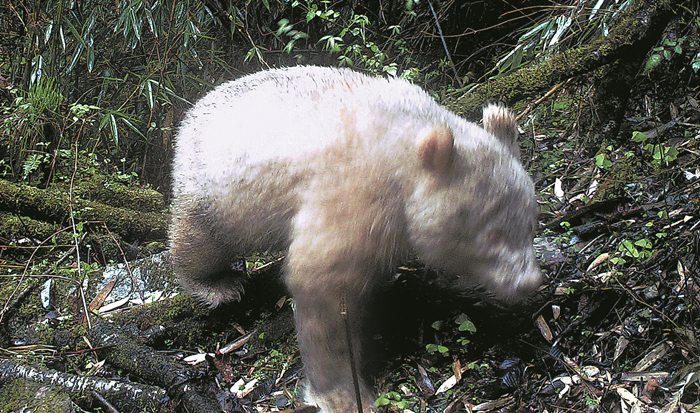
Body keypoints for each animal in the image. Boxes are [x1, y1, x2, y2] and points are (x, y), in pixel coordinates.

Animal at [170, 66, 540, 410]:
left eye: (530, 222)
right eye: (492, 233)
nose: (530, 281)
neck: (403, 145)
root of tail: (190, 114)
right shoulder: (353, 192)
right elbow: (322, 285)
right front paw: (342, 394)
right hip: (215, 192)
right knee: (199, 241)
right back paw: (217, 284)